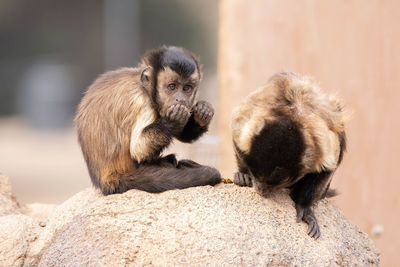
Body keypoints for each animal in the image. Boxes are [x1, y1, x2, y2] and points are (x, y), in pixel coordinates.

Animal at [75, 46, 222, 196]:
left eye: (187, 88)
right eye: (172, 86)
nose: (180, 99)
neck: (145, 89)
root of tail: (106, 181)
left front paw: (203, 113)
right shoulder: (141, 101)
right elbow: (138, 150)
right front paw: (172, 120)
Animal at [231, 72, 346, 240]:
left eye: (272, 183)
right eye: (256, 176)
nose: (260, 190)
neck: (292, 118)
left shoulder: (321, 142)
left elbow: (327, 167)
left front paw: (304, 207)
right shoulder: (247, 125)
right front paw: (244, 175)